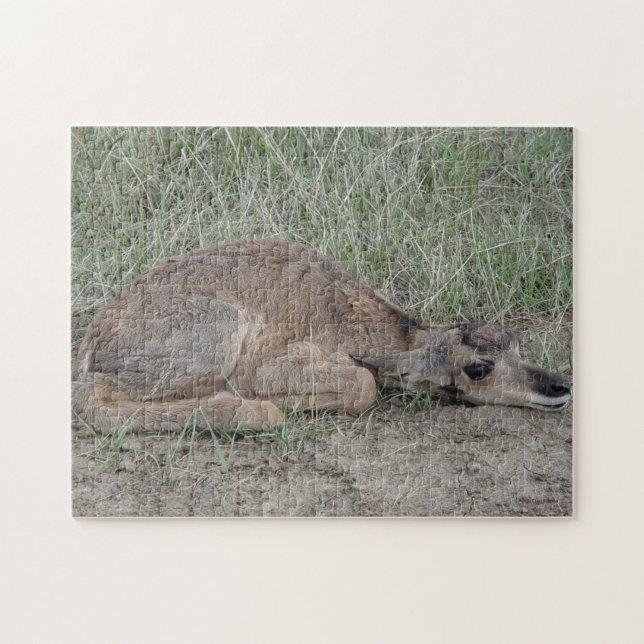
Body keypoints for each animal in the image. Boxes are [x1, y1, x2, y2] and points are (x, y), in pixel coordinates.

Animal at [72, 240, 572, 433]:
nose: (559, 385)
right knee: (92, 400)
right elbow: (363, 384)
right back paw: (251, 411)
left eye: (515, 341)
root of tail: (91, 343)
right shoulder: (269, 365)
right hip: (217, 331)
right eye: (477, 369)